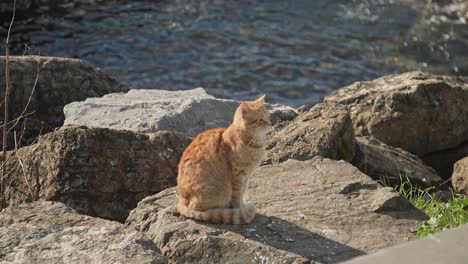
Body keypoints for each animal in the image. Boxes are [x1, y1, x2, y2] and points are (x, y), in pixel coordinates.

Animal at [176, 96, 270, 224]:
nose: (270, 124)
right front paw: (240, 209)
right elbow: (237, 196)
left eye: (268, 116)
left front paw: (242, 205)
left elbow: (243, 192)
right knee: (199, 210)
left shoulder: (246, 177)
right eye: (260, 120)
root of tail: (181, 199)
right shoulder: (238, 175)